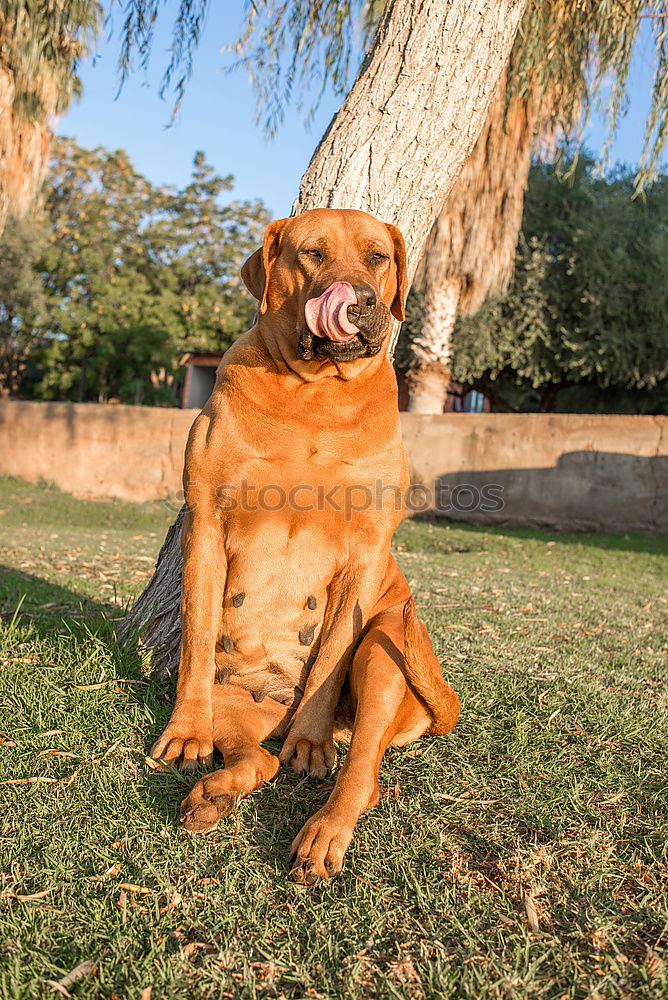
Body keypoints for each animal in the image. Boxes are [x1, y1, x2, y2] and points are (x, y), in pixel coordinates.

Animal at [151, 209, 460, 884]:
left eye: (377, 257)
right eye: (312, 254)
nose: (361, 300)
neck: (315, 396)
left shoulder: (366, 553)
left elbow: (333, 652)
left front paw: (313, 744)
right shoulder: (205, 526)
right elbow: (194, 641)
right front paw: (185, 734)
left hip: (387, 649)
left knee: (362, 770)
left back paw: (322, 828)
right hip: (236, 702)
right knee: (258, 760)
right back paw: (214, 794)